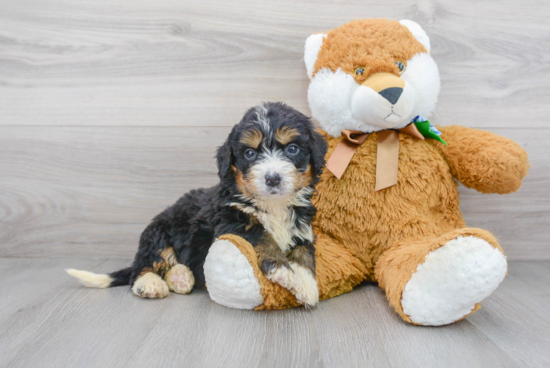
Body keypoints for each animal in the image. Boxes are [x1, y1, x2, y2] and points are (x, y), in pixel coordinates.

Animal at [67, 101, 330, 308]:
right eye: (249, 154)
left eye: (292, 149)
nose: (272, 178)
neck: (274, 205)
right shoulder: (231, 222)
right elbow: (262, 236)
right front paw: (284, 270)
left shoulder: (301, 227)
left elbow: (306, 254)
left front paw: (307, 285)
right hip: (157, 233)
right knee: (144, 266)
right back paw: (151, 284)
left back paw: (181, 277)